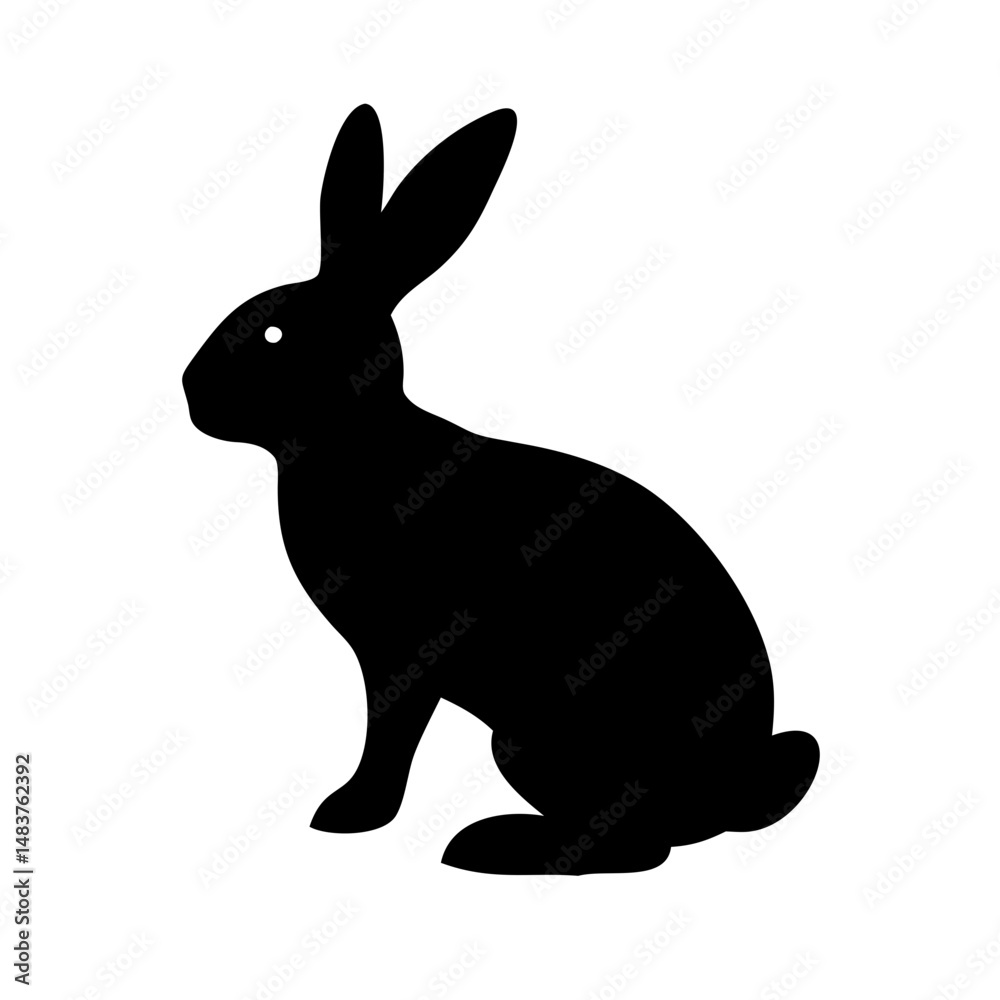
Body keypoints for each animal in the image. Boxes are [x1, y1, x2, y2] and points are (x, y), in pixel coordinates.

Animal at [182, 103, 819, 875]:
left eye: (274, 334)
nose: (189, 390)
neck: (359, 442)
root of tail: (728, 793)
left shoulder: (402, 655)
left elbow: (389, 735)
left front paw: (349, 814)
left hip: (531, 740)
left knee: (639, 845)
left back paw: (490, 844)